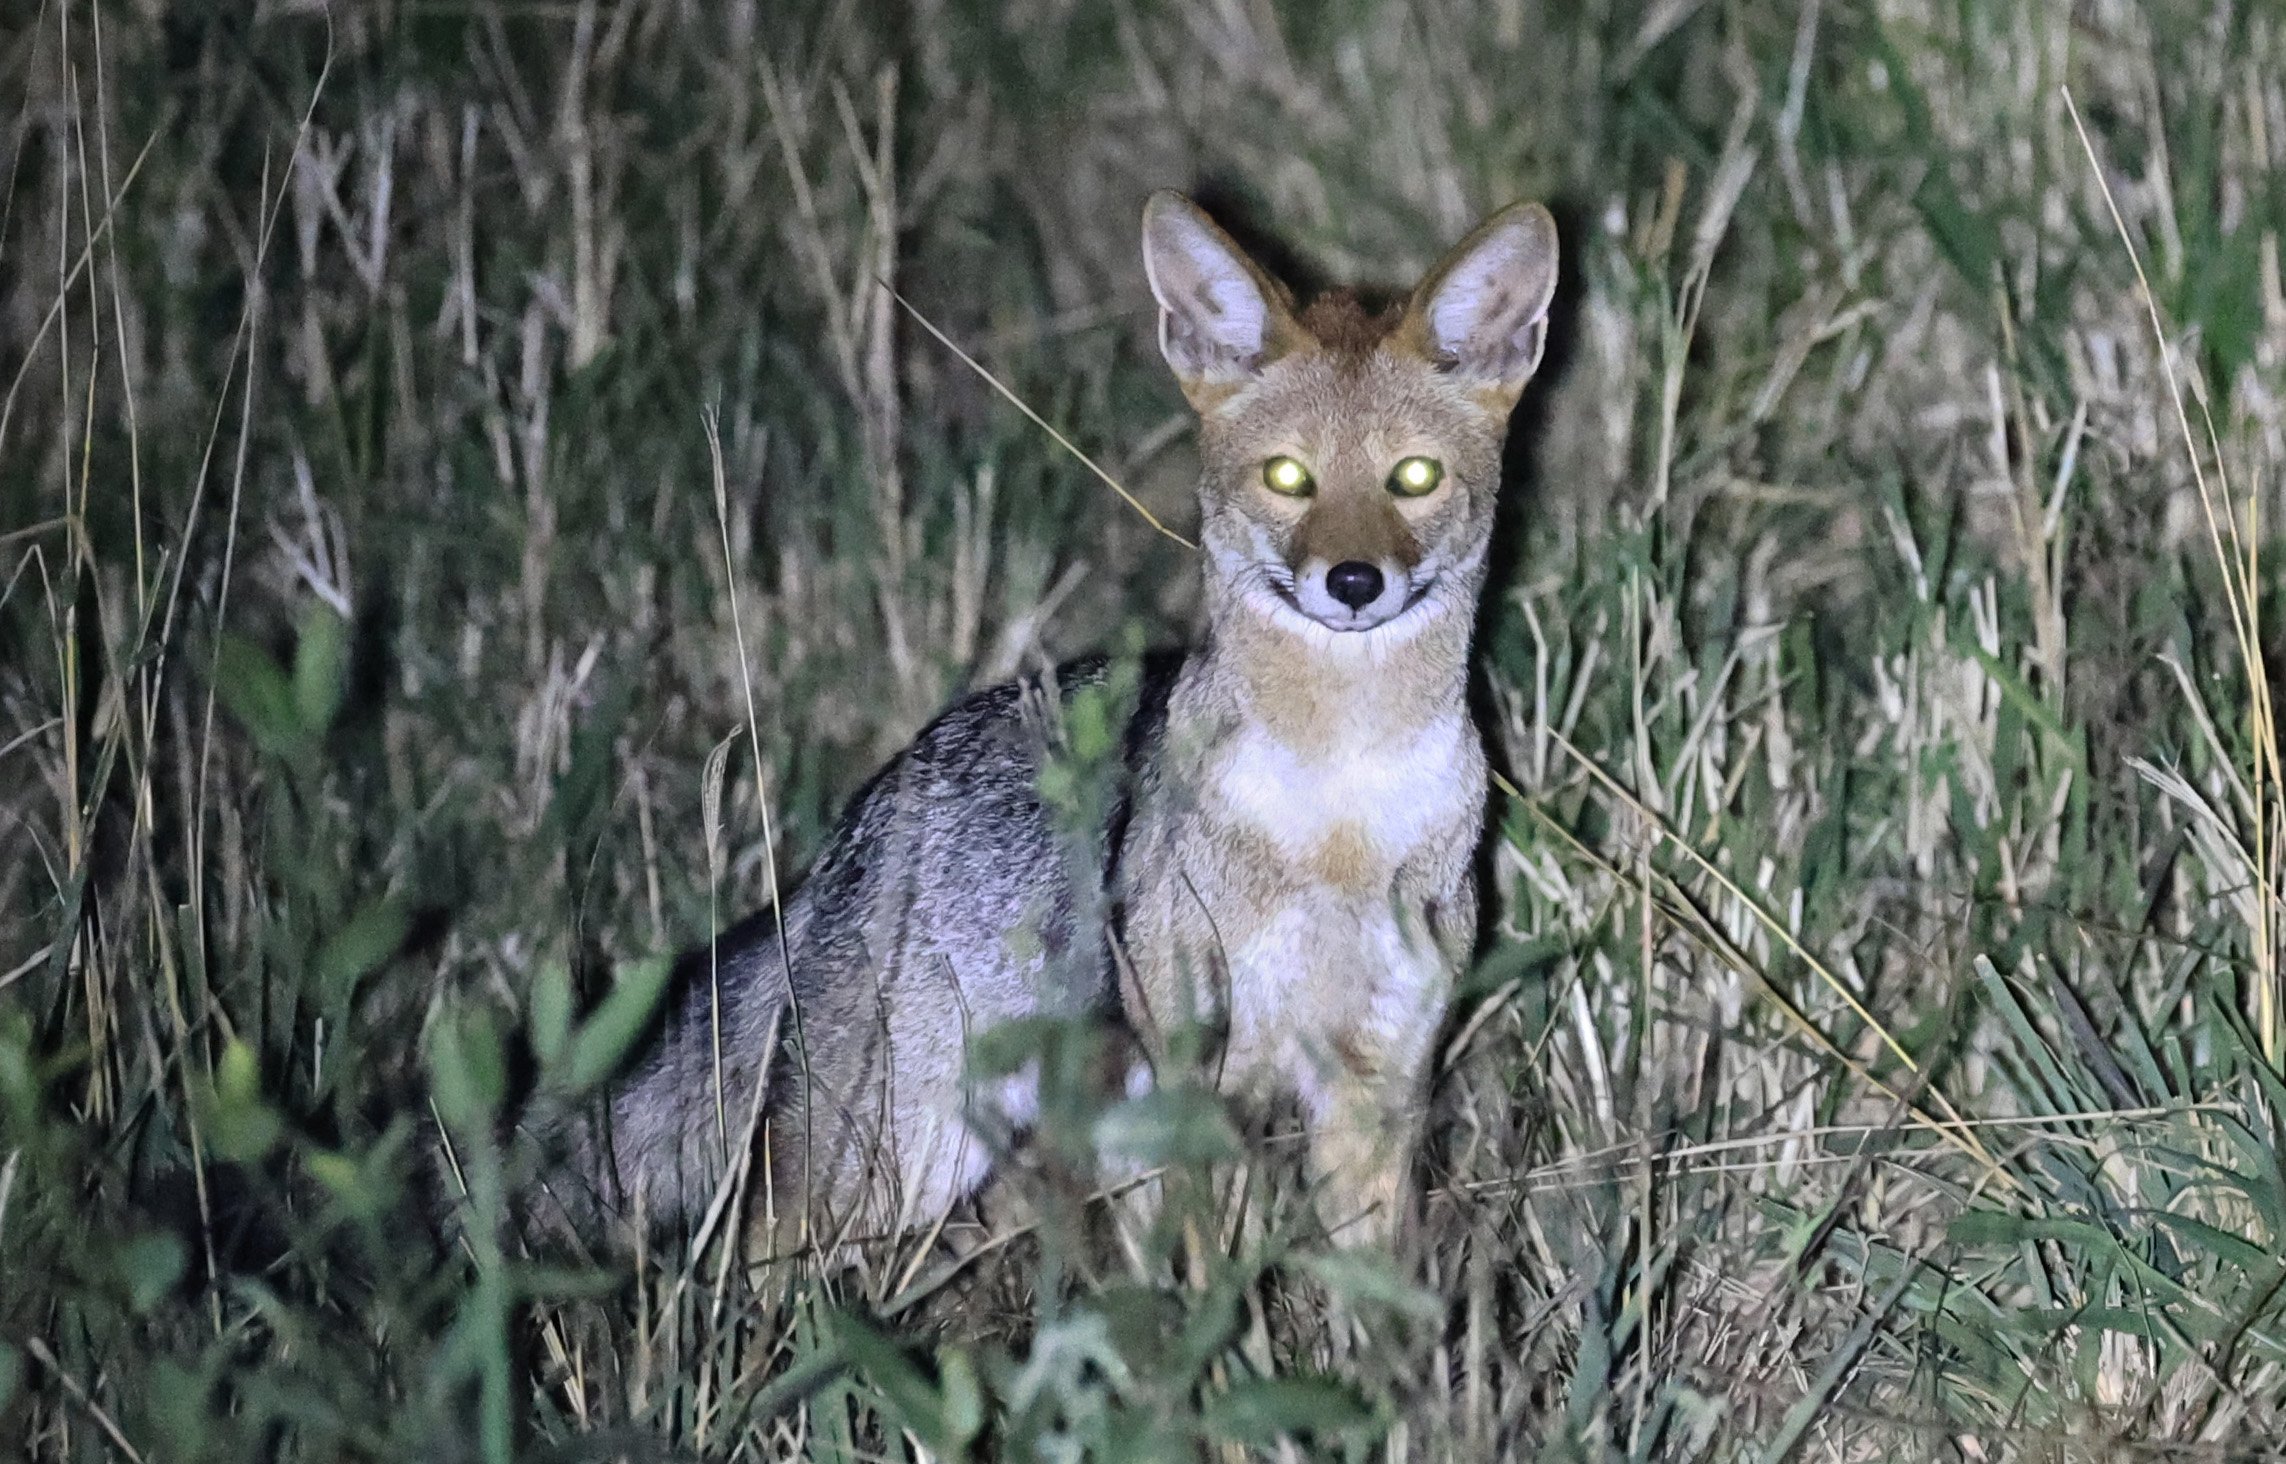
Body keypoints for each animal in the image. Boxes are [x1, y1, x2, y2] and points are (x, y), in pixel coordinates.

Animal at [537, 191, 1559, 1257]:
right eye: (1288, 478)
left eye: (1413, 478)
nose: (1354, 583)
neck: (1340, 812)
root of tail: (848, 834)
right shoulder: (1197, 1083)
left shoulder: (1375, 1094)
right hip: (886, 1170)